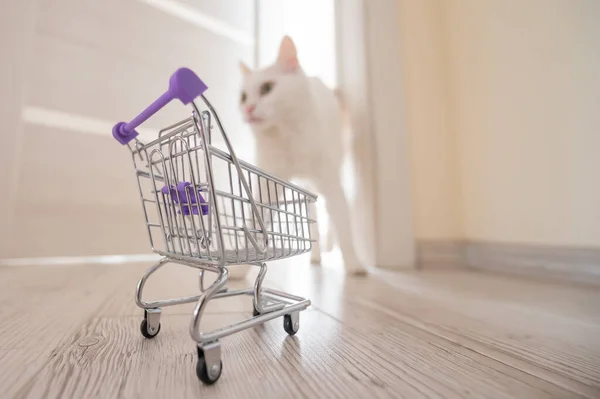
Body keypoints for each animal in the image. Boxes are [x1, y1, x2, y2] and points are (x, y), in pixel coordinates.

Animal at [227, 36, 366, 278]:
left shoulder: (331, 183)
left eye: (266, 88)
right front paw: (241, 269)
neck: (285, 137)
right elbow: (255, 226)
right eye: (243, 97)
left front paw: (353, 264)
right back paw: (315, 256)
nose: (249, 108)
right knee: (313, 220)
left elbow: (344, 227)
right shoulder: (266, 187)